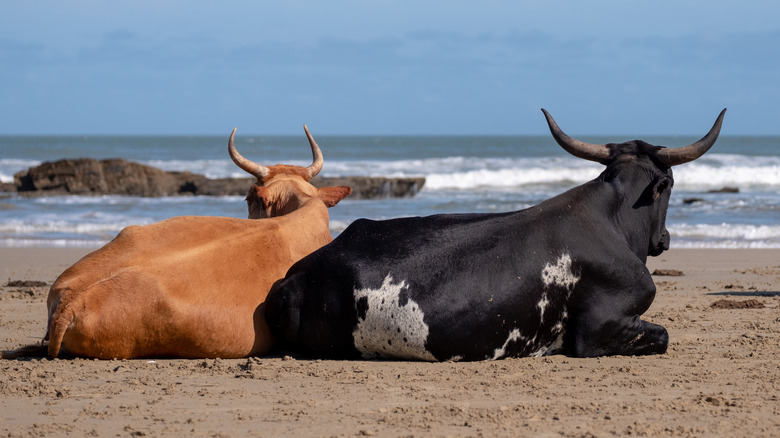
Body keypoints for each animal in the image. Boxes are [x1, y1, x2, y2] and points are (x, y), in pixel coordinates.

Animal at [266, 108, 724, 360]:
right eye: (670, 183)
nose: (663, 240)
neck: (612, 218)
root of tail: (295, 275)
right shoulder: (598, 328)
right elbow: (662, 335)